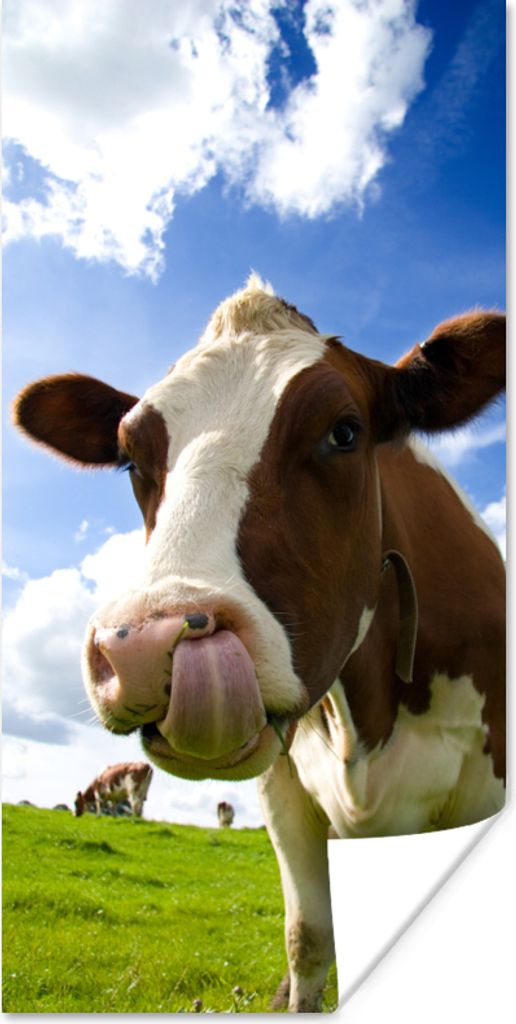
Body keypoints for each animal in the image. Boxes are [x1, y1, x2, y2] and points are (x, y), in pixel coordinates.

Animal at [13, 276, 505, 1011]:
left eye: (344, 432)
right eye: (130, 457)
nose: (143, 647)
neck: (369, 722)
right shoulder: (285, 791)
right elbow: (308, 940)